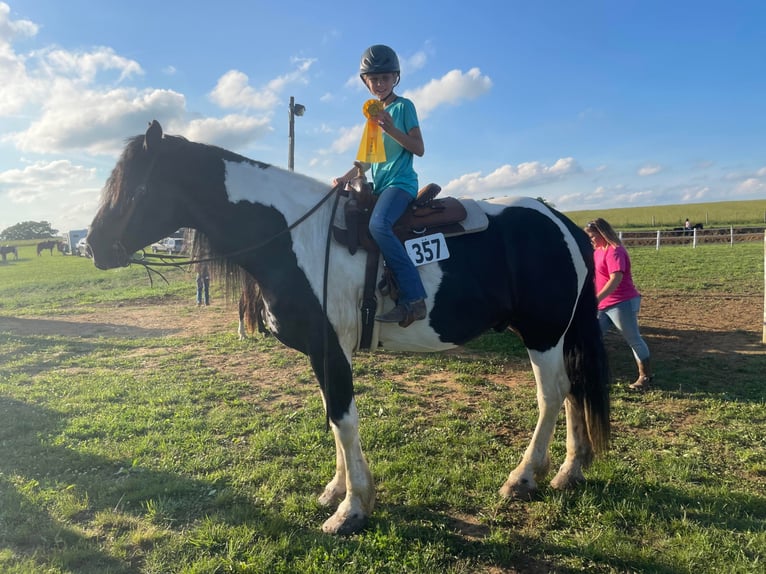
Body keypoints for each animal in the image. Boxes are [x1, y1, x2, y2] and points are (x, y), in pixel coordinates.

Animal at [85, 119, 612, 536]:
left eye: (135, 190)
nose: (93, 246)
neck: (296, 235)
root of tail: (561, 220)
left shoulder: (331, 346)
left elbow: (343, 419)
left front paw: (352, 508)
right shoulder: (324, 352)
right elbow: (332, 415)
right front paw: (336, 490)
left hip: (543, 332)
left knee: (552, 393)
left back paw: (524, 477)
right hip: (559, 333)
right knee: (573, 390)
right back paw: (570, 470)